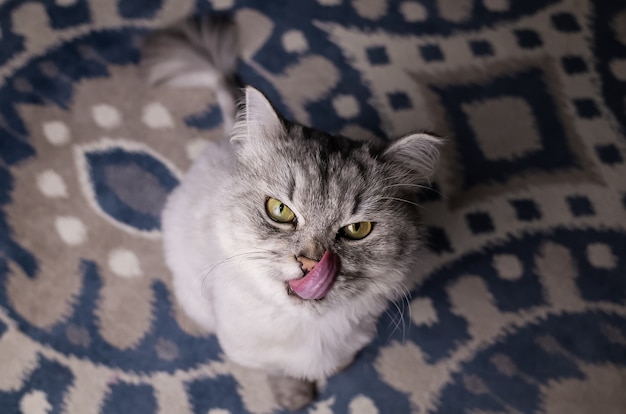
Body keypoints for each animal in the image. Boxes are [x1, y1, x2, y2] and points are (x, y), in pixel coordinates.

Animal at [141, 14, 438, 410]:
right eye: (280, 210)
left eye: (357, 229)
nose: (311, 264)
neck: (310, 329)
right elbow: (281, 371)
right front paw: (294, 397)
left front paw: (333, 372)